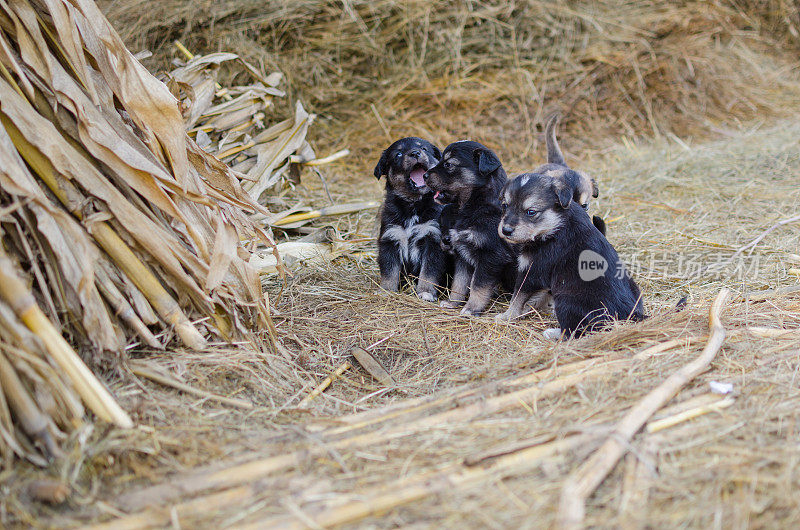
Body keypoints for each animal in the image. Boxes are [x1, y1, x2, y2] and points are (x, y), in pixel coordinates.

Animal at [374, 136, 446, 302]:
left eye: (424, 149)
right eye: (398, 154)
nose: (415, 153)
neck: (413, 204)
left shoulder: (433, 238)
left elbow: (428, 272)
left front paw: (425, 292)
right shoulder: (390, 238)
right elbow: (389, 270)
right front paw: (387, 290)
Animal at [422, 139, 516, 314]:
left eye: (449, 164)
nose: (424, 176)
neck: (475, 205)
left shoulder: (491, 256)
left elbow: (478, 286)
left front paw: (471, 309)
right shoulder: (462, 253)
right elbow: (459, 282)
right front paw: (453, 303)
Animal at [500, 171, 644, 338]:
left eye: (531, 212)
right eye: (504, 205)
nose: (505, 230)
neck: (556, 225)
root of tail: (630, 317)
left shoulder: (532, 272)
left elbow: (517, 297)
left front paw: (507, 316)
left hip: (566, 300)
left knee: (574, 331)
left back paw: (552, 332)